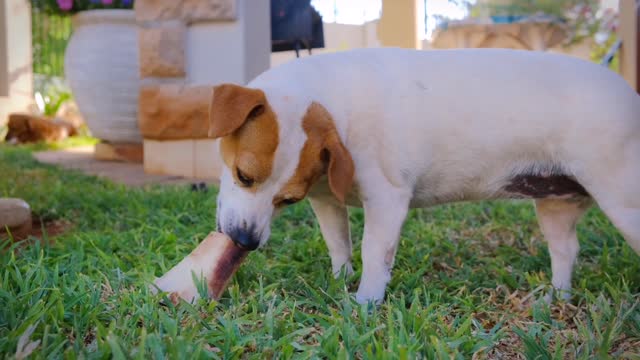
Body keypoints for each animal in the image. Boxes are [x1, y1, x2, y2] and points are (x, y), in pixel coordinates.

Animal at [208, 47, 636, 304]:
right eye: (243, 176)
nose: (244, 240)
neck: (336, 104)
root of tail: (630, 95)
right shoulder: (327, 201)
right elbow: (339, 246)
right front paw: (339, 281)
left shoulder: (387, 200)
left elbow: (373, 254)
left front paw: (364, 303)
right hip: (555, 206)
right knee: (566, 252)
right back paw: (556, 299)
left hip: (623, 201)